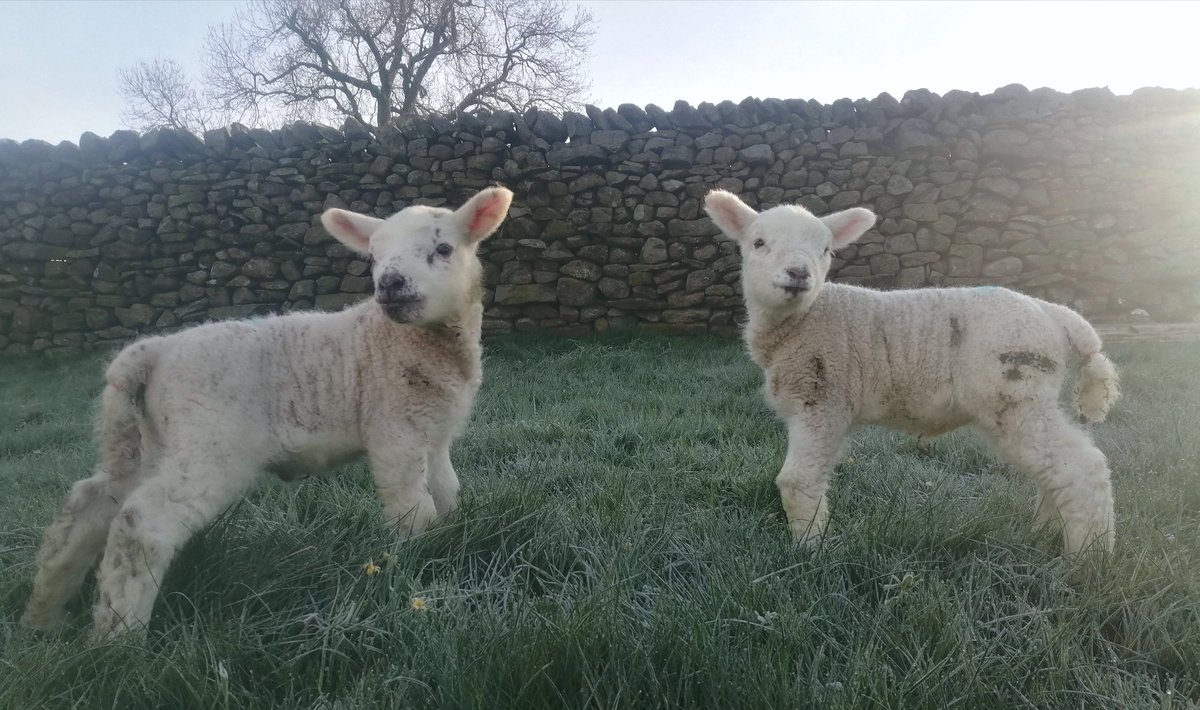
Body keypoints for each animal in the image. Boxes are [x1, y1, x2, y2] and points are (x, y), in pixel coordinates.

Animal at [22, 184, 511, 638]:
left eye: (443, 249)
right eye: (373, 257)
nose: (389, 285)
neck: (408, 344)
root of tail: (153, 351)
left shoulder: (435, 435)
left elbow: (447, 493)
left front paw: (449, 539)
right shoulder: (395, 433)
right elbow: (414, 508)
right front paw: (419, 560)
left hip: (150, 442)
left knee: (88, 506)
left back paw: (46, 614)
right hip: (209, 445)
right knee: (141, 523)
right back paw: (119, 638)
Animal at [705, 189, 1118, 561]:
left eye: (826, 251)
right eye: (758, 242)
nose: (798, 274)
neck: (806, 318)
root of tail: (1055, 315)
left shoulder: (822, 401)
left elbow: (796, 481)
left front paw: (808, 551)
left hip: (1017, 392)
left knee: (1081, 468)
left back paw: (1088, 558)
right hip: (1027, 398)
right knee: (1051, 470)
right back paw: (1045, 533)